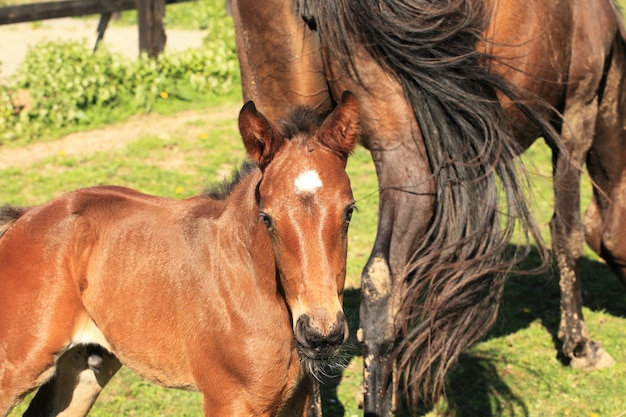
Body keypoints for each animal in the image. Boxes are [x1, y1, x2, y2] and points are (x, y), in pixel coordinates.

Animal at [0, 92, 358, 414]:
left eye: (349, 211)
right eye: (267, 218)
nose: (321, 335)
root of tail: (24, 217)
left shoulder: (296, 400)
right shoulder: (228, 399)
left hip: (85, 365)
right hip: (17, 364)